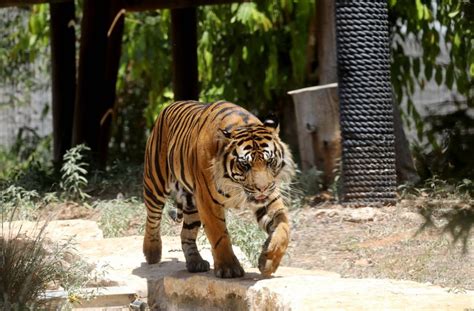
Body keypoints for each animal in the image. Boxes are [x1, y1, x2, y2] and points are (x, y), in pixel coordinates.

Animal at [143, 101, 294, 280]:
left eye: (269, 161)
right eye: (245, 165)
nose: (262, 188)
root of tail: (169, 106)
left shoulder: (269, 198)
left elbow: (283, 228)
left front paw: (268, 261)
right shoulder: (207, 201)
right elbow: (219, 235)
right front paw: (229, 268)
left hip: (191, 203)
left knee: (186, 233)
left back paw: (195, 263)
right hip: (155, 183)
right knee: (152, 218)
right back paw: (152, 252)